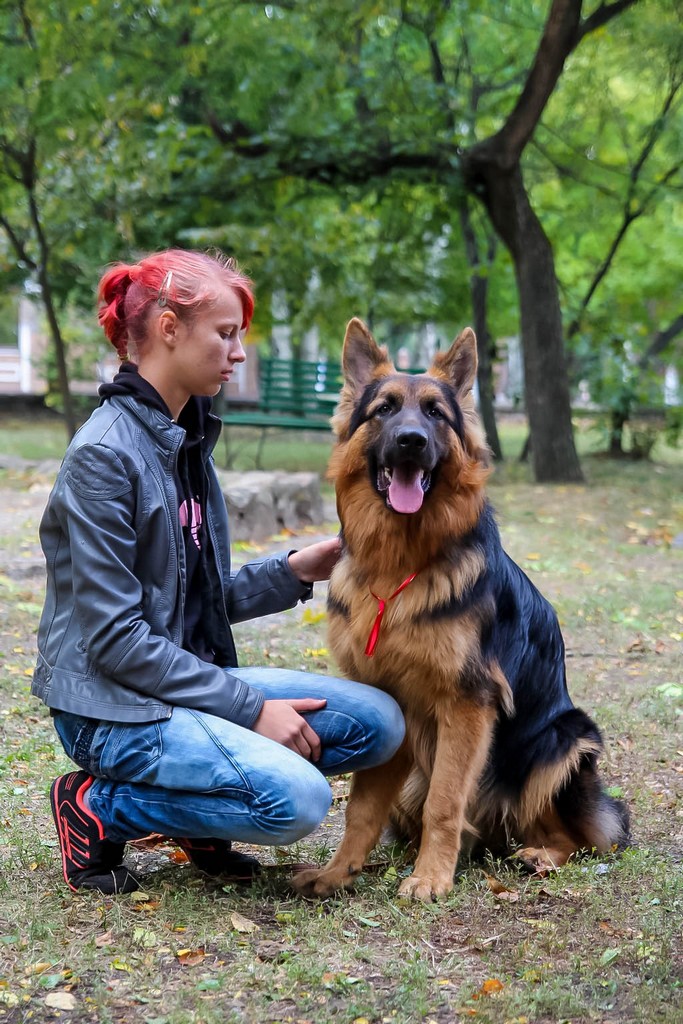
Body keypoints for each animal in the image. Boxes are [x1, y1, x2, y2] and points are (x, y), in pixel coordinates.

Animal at [294, 315, 630, 901]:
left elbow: (446, 802)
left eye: (435, 413)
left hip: (562, 741)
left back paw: (539, 856)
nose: (410, 440)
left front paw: (430, 878)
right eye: (384, 409)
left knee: (579, 837)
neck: (400, 563)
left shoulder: (467, 705)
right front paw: (338, 873)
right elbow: (361, 808)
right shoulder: (389, 703)